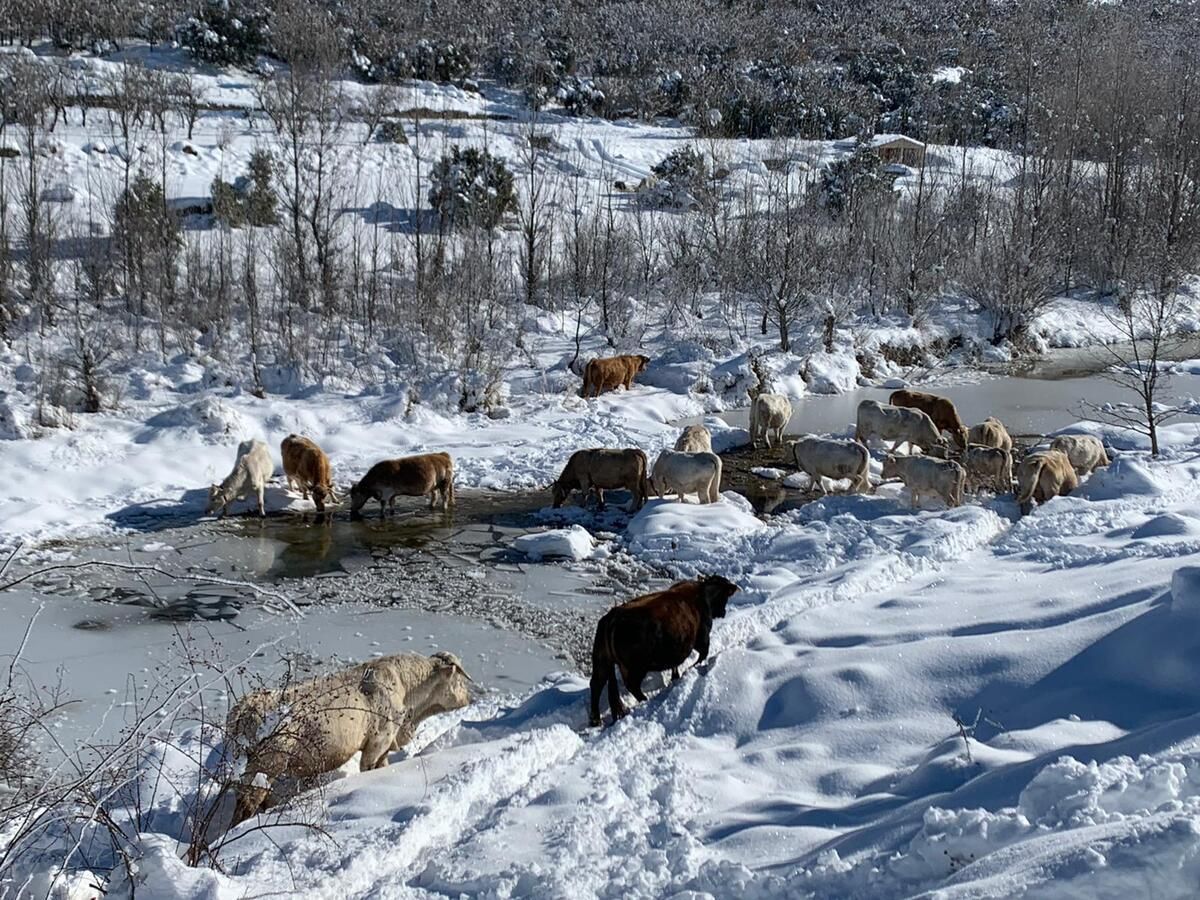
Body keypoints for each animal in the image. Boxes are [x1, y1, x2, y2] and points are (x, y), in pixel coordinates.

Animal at [225, 652, 472, 830]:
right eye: (460, 681)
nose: (470, 697)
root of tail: (247, 705)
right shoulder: (378, 740)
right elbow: (370, 769)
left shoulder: (385, 743)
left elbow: (384, 765)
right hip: (268, 761)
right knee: (248, 801)